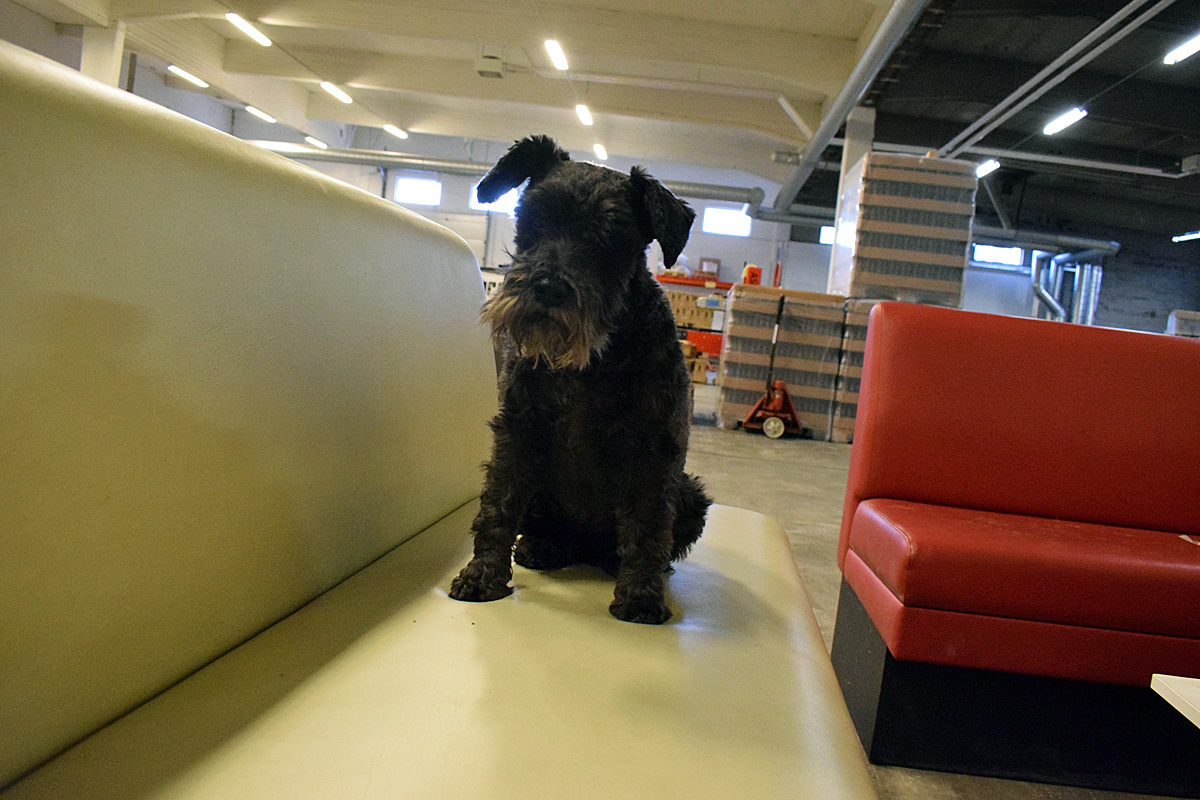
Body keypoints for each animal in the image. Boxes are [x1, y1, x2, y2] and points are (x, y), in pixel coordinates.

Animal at [448, 135, 712, 624]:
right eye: (532, 218)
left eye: (611, 239)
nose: (548, 289)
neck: (588, 364)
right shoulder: (518, 433)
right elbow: (497, 505)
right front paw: (481, 576)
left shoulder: (653, 450)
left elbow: (647, 524)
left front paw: (640, 598)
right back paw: (541, 547)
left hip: (690, 493)